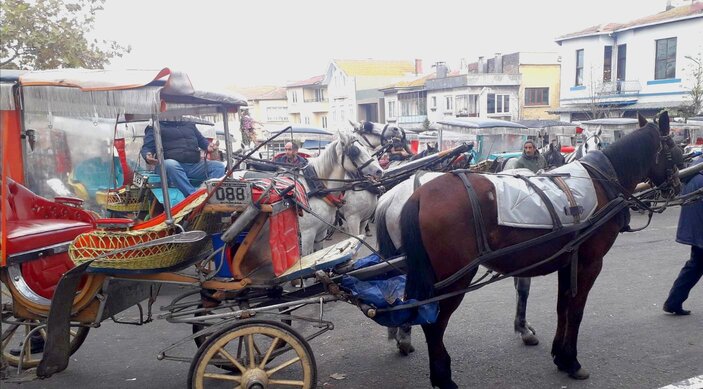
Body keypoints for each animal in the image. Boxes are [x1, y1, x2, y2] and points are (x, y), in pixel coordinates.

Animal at [402, 111, 680, 384]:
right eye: (674, 147)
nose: (676, 186)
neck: (602, 180)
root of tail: (420, 194)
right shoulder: (590, 263)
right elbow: (576, 310)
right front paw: (572, 361)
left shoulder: (568, 261)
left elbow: (562, 307)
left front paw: (560, 356)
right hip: (454, 280)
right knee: (434, 324)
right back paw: (443, 377)